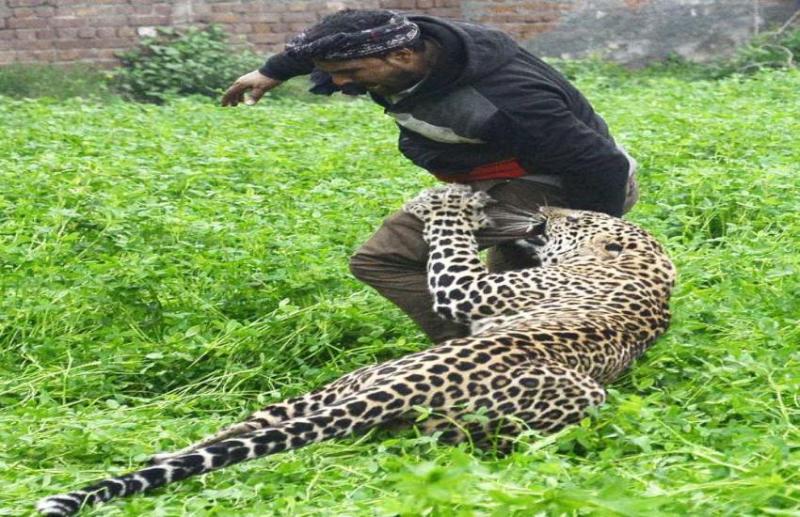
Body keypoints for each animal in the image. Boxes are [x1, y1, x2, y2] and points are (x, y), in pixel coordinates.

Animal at [37, 184, 676, 516]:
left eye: (575, 218)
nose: (545, 211)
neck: (647, 267)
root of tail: (414, 380)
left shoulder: (471, 288)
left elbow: (450, 244)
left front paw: (442, 202)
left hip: (573, 394)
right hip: (344, 384)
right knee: (247, 429)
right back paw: (161, 453)